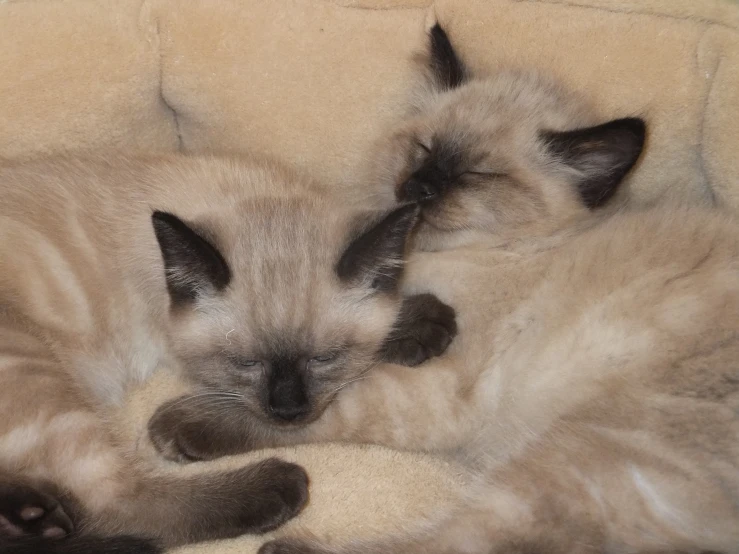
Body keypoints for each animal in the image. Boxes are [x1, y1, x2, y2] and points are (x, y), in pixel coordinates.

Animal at [0, 153, 454, 548]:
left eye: (323, 358)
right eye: (246, 363)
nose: (288, 411)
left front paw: (426, 321)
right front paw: (426, 324)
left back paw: (29, 517)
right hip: (37, 371)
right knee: (111, 505)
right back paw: (277, 487)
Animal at [251, 24, 736, 552]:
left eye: (477, 175)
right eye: (424, 148)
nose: (418, 188)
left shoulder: (434, 394)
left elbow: (327, 394)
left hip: (568, 462)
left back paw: (286, 545)